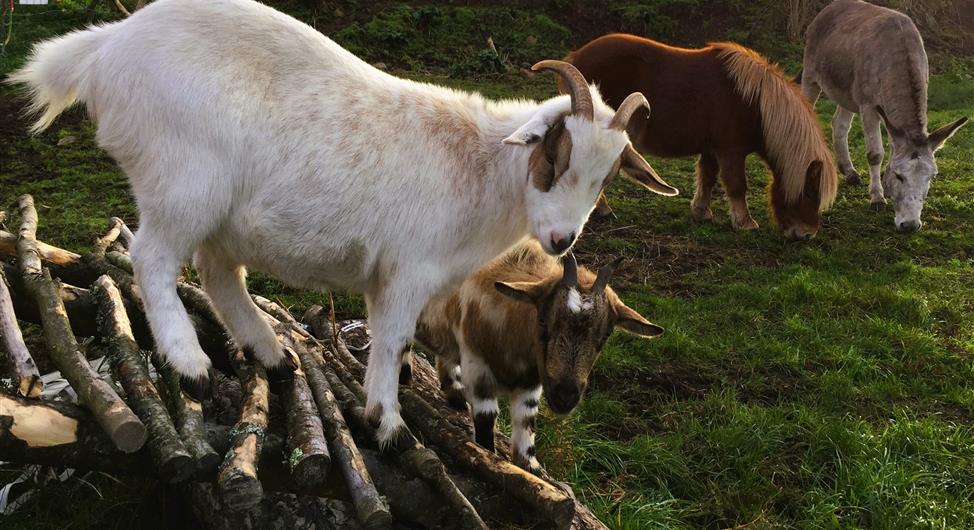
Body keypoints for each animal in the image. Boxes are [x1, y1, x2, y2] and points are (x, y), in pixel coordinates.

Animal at [10, 0, 677, 446]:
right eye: (555, 156)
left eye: (607, 177)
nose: (563, 239)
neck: (480, 167)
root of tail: (105, 46)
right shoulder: (409, 269)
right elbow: (394, 340)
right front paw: (388, 424)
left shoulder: (390, 278)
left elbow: (390, 341)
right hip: (184, 180)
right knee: (153, 258)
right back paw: (191, 365)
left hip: (222, 212)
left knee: (218, 273)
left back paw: (272, 354)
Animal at [415, 241, 662, 472]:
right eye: (542, 320)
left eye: (607, 333)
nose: (565, 395)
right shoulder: (477, 365)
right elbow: (486, 417)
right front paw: (489, 458)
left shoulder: (532, 382)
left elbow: (526, 422)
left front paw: (530, 467)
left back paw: (455, 397)